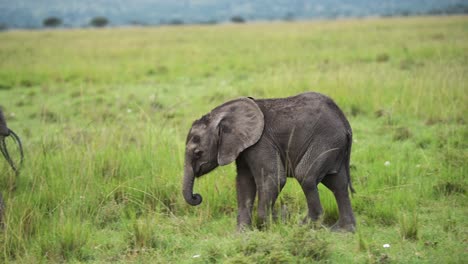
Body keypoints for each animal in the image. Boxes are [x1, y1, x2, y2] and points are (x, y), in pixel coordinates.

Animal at [182, 92, 354, 232]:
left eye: (198, 153)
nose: (197, 196)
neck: (222, 114)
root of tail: (344, 121)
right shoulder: (243, 147)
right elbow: (244, 183)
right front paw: (241, 234)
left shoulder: (261, 142)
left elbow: (273, 178)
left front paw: (277, 222)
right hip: (333, 145)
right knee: (338, 184)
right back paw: (342, 232)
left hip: (326, 140)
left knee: (306, 176)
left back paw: (304, 226)